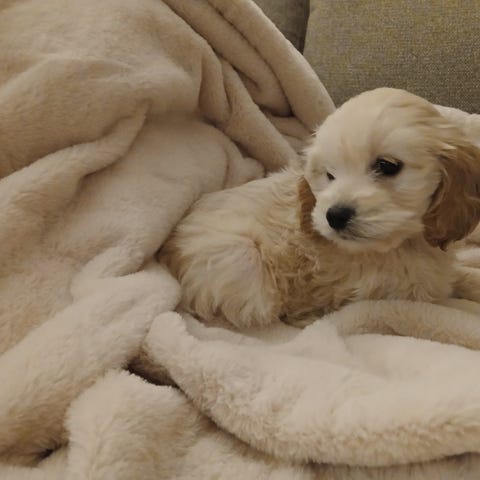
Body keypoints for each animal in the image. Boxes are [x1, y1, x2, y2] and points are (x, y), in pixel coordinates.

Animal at [161, 88, 480, 328]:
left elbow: (457, 277)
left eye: (387, 165)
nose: (334, 216)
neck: (401, 246)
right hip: (241, 261)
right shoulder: (390, 296)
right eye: (330, 174)